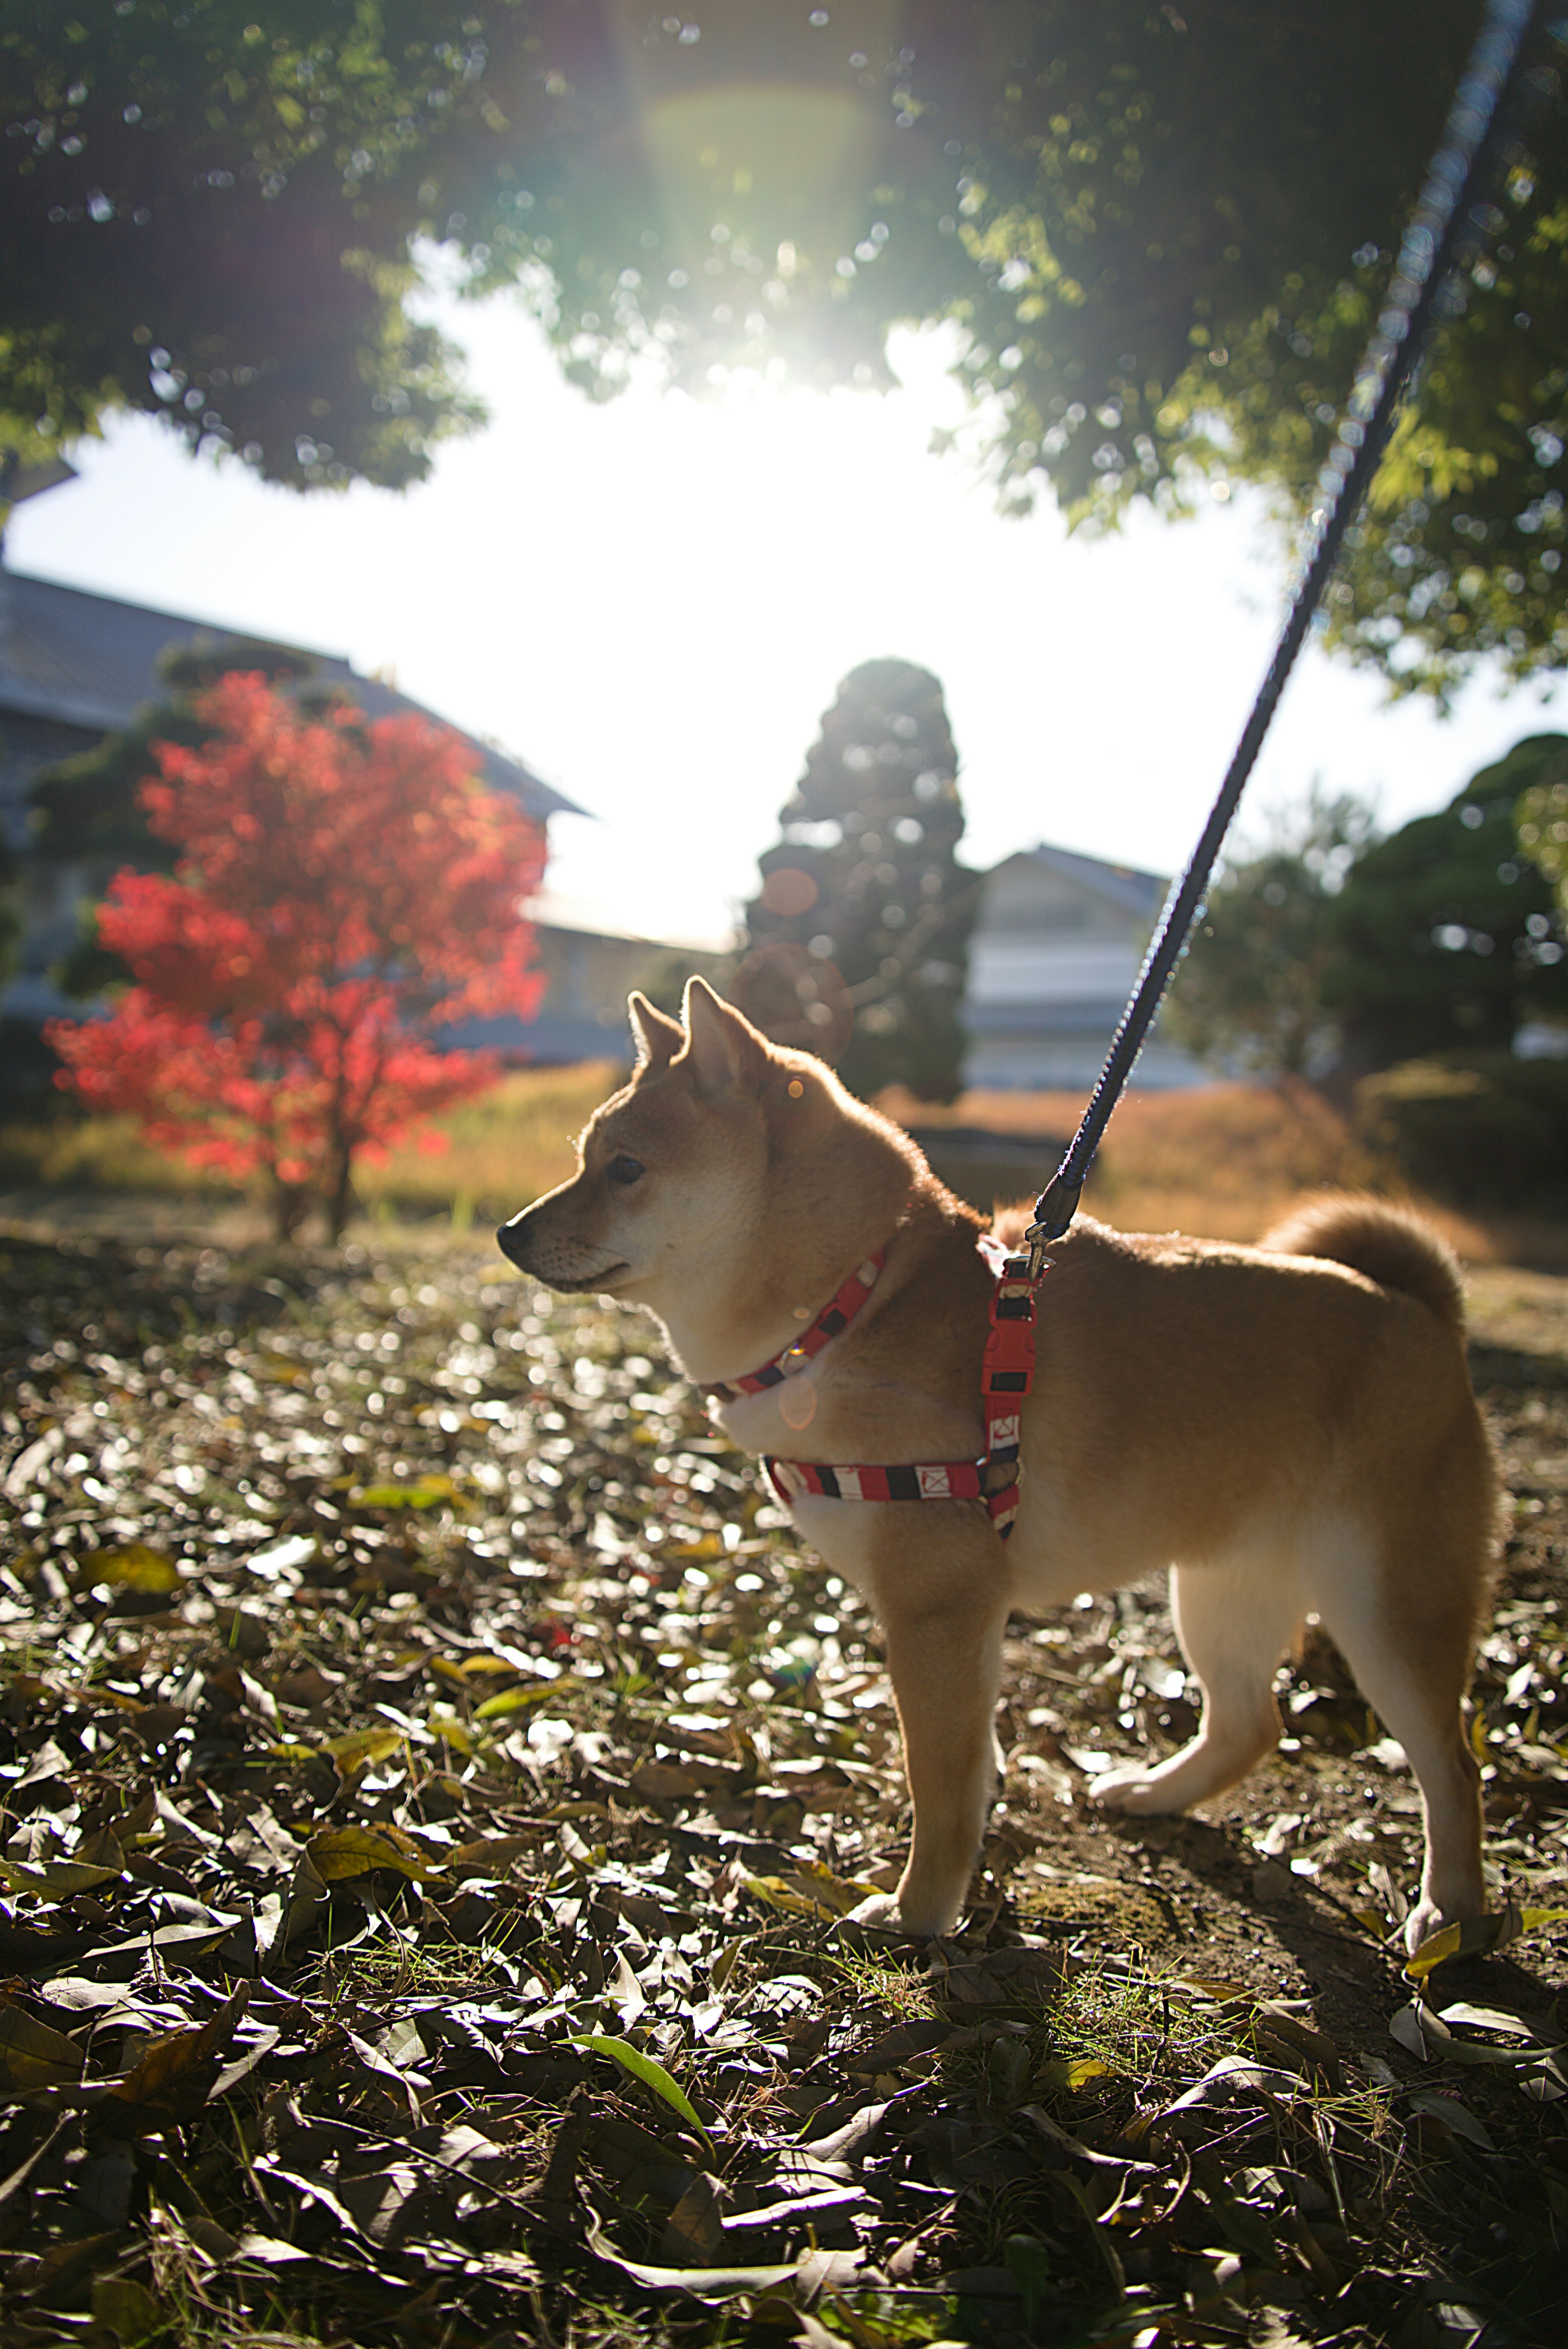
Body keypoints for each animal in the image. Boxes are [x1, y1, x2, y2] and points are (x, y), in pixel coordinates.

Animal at [495, 972, 1502, 1945]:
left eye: (625, 1168)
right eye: (585, 1156)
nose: (508, 1231)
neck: (858, 1302)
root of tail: (1425, 1314)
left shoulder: (937, 1611)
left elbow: (940, 1790)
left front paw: (918, 1914)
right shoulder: (961, 1621)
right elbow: (970, 1771)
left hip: (1385, 1608)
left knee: (1453, 1764)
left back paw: (1449, 1913)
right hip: (1221, 1588)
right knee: (1250, 1724)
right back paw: (1155, 1792)